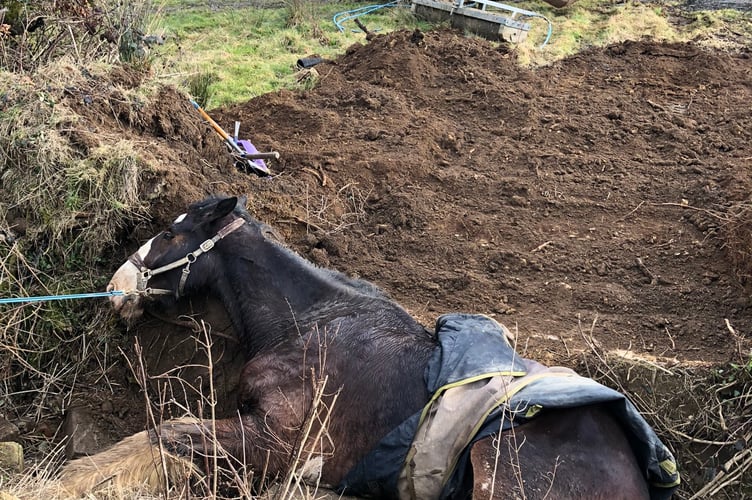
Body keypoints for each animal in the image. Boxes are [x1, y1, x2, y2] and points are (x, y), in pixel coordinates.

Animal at [58, 196, 680, 500]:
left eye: (171, 233)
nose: (116, 286)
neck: (312, 321)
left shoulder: (286, 447)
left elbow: (162, 434)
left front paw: (70, 480)